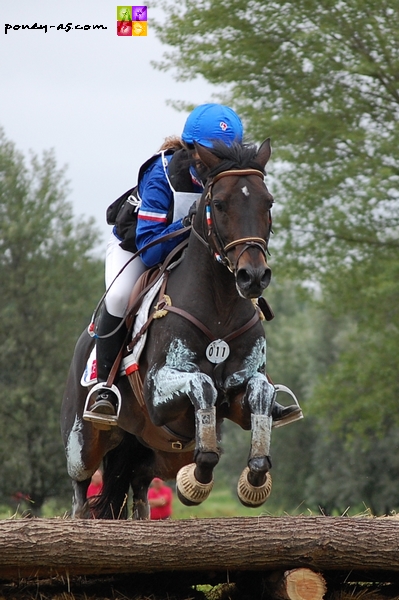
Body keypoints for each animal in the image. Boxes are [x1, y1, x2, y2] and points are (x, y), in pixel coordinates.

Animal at [61, 138, 282, 516]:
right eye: (219, 204)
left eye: (267, 202)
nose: (253, 276)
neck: (220, 308)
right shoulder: (157, 390)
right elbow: (204, 384)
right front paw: (198, 480)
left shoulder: (243, 388)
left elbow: (260, 394)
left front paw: (255, 477)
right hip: (84, 441)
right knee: (80, 488)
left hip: (157, 453)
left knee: (138, 485)